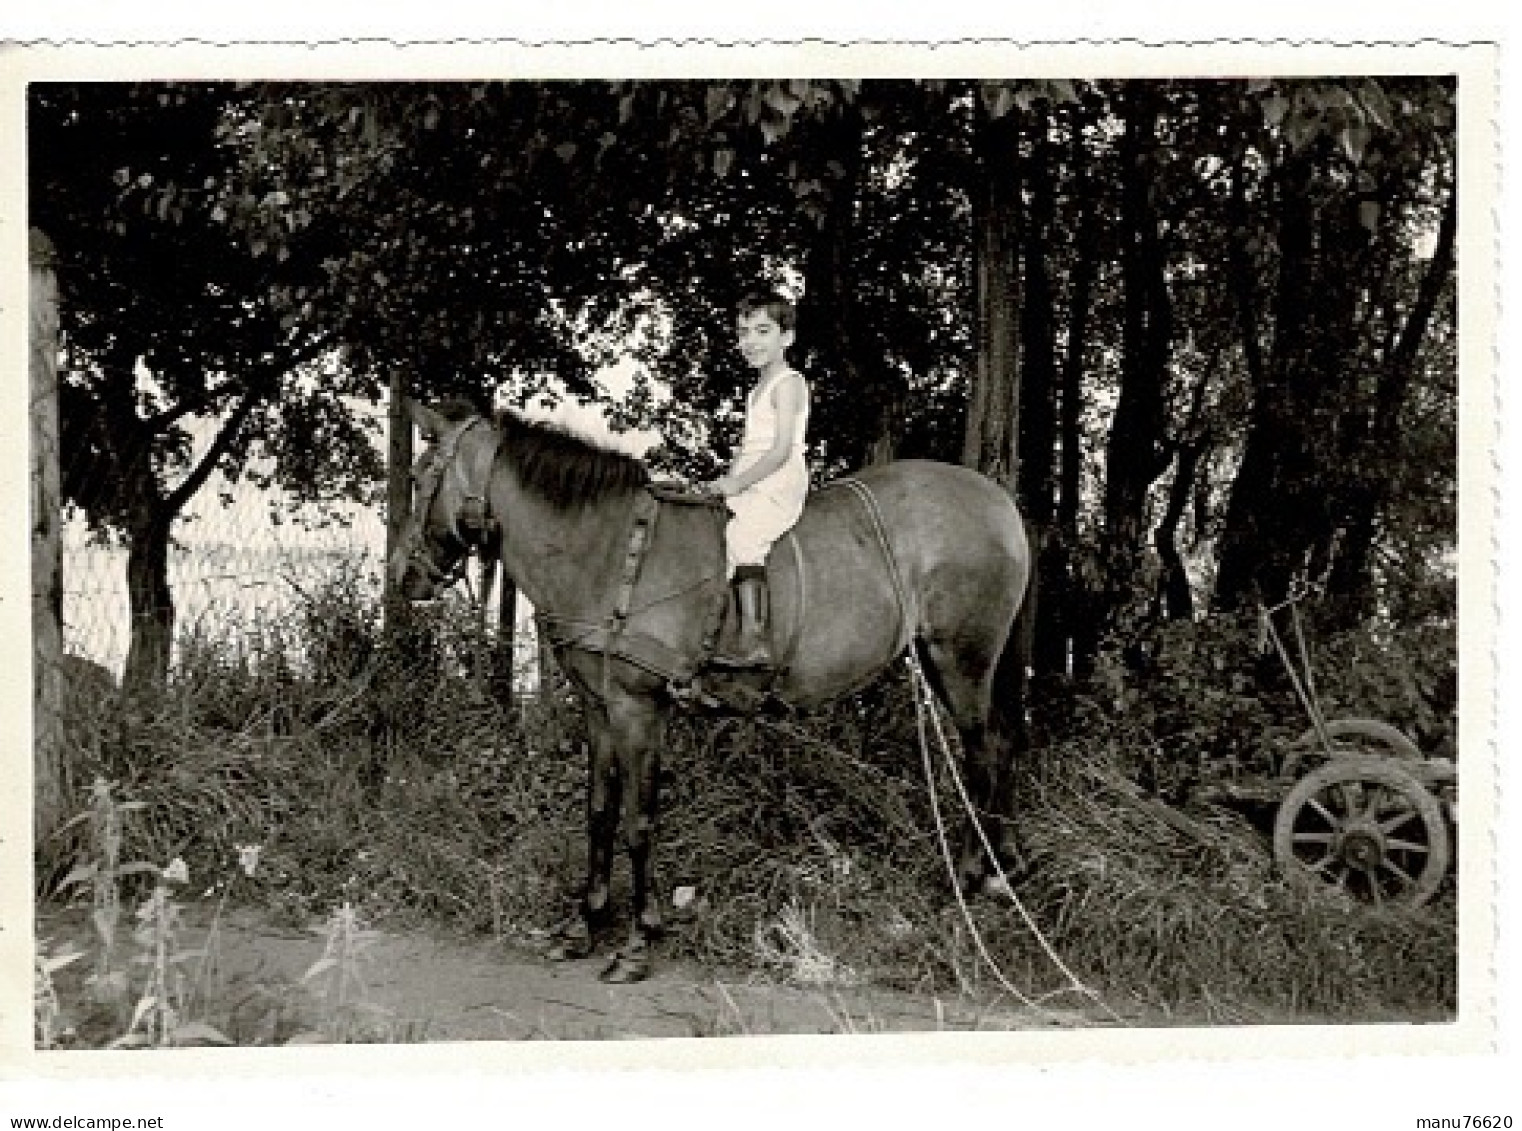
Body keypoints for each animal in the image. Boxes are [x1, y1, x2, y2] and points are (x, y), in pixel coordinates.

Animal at [392, 398, 1034, 980]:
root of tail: (1000, 502)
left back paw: (971, 881)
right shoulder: (600, 710)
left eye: (421, 478)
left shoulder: (639, 711)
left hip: (962, 660)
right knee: (1002, 746)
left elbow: (638, 822)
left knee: (982, 756)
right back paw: (1005, 870)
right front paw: (585, 925)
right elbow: (599, 814)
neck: (612, 550)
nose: (401, 575)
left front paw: (637, 940)